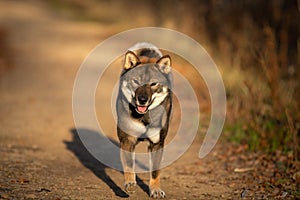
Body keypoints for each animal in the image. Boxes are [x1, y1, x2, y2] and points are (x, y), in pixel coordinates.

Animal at [116, 42, 173, 198]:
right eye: (136, 81)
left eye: (153, 83)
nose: (142, 99)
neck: (144, 117)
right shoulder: (128, 139)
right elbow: (129, 164)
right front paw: (130, 183)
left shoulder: (157, 143)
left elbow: (155, 171)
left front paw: (155, 190)